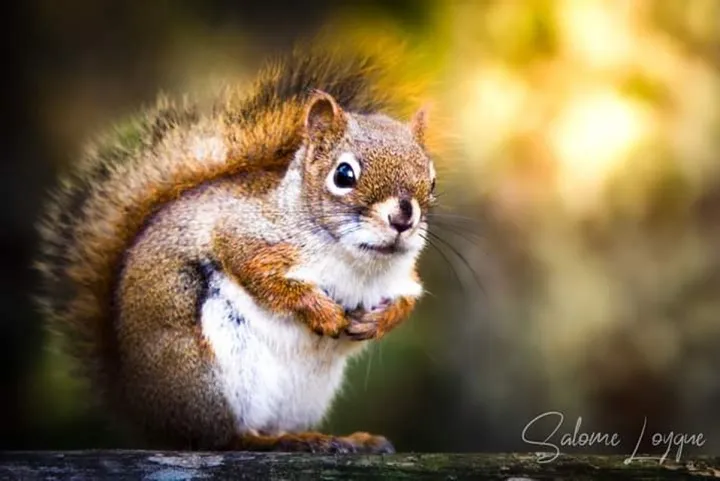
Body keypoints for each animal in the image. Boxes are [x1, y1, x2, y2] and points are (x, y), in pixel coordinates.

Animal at [35, 48, 437, 454]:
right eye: (343, 175)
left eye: (432, 181)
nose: (403, 217)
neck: (359, 261)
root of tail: (146, 413)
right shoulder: (242, 234)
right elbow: (262, 276)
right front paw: (321, 312)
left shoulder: (402, 279)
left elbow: (406, 300)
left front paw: (377, 322)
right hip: (214, 373)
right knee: (224, 438)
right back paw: (283, 440)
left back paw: (341, 439)